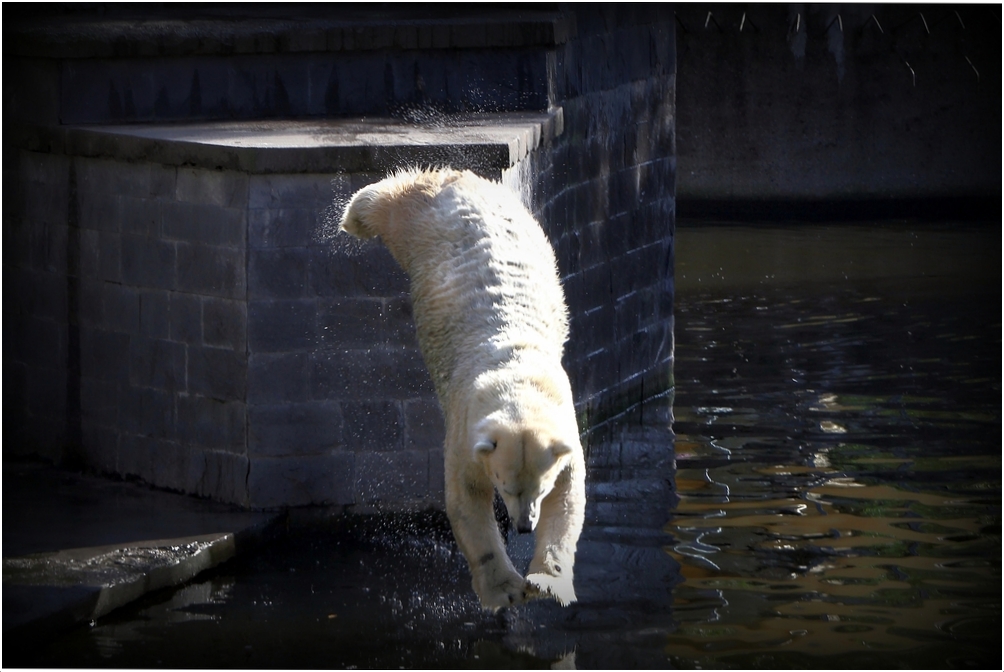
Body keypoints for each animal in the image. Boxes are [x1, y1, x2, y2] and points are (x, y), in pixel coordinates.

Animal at [339, 166, 586, 606]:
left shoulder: (564, 419)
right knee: (396, 201)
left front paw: (544, 582)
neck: (517, 373)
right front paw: (505, 589)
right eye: (505, 486)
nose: (523, 526)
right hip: (424, 225)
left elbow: (570, 497)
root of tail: (463, 183)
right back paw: (355, 216)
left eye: (539, 488)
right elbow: (466, 498)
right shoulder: (466, 426)